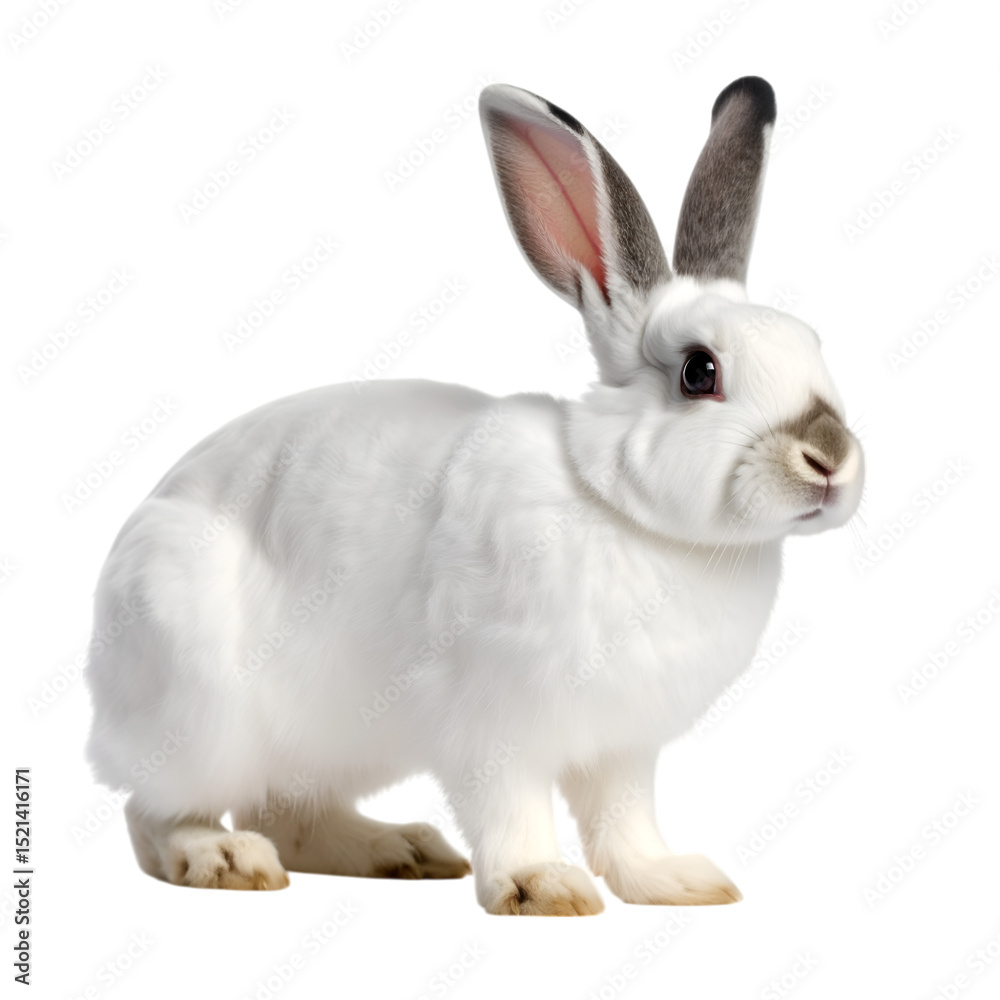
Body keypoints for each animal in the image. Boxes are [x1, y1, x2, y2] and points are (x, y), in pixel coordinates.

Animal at [85, 75, 864, 915]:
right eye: (699, 371)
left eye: (813, 345)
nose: (831, 458)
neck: (623, 512)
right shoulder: (493, 722)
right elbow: (511, 807)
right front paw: (542, 886)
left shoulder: (624, 745)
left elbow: (625, 821)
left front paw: (675, 881)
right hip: (199, 709)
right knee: (154, 812)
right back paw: (226, 858)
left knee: (290, 814)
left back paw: (400, 850)